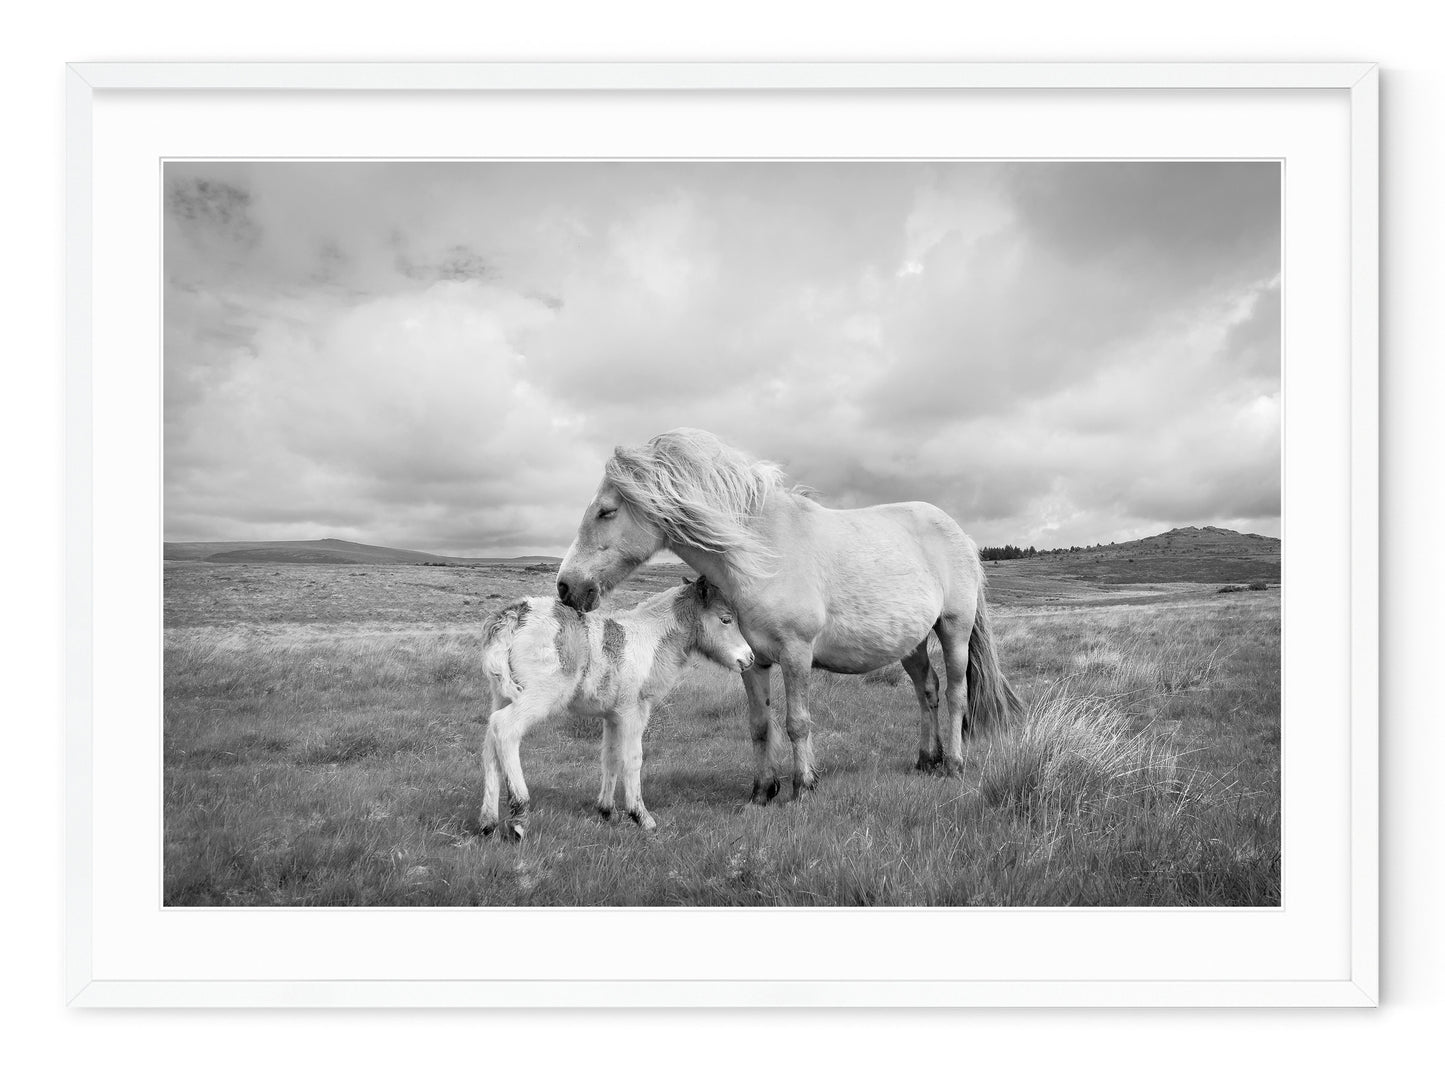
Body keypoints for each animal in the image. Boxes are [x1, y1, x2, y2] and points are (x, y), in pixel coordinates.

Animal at [479, 576, 754, 840]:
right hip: (540, 695)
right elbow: (633, 758)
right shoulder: (634, 711)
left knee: (491, 741)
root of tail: (516, 615)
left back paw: (488, 823)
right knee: (505, 728)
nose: (749, 658)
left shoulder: (612, 716)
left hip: (502, 694)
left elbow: (610, 757)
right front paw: (641, 817)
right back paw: (519, 817)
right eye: (726, 619)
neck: (650, 640)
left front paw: (607, 811)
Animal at [555, 428, 1023, 805]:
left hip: (954, 630)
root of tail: (961, 535)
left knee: (957, 694)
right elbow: (760, 725)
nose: (565, 587)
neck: (762, 554)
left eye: (607, 511)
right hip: (912, 643)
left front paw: (803, 787)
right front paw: (763, 791)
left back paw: (953, 765)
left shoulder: (797, 654)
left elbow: (797, 722)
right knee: (927, 690)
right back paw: (927, 759)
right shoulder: (752, 660)